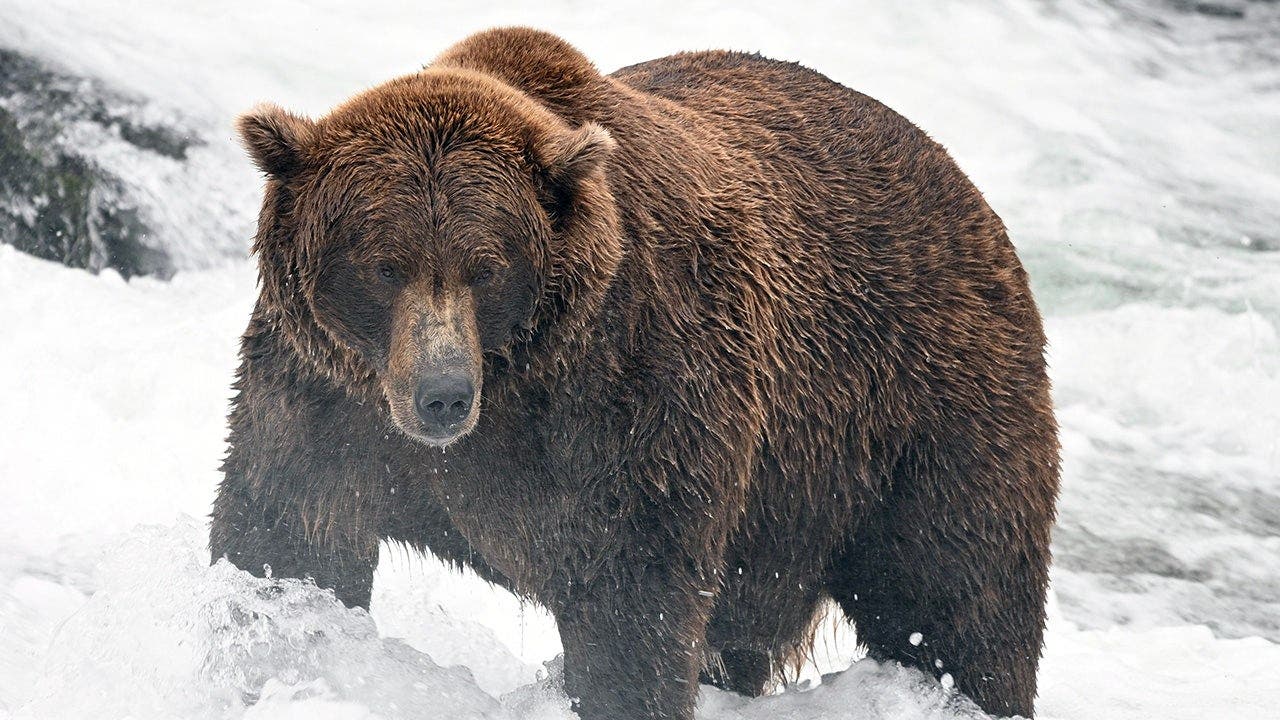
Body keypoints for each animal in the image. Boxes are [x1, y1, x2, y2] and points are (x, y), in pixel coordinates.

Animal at [210, 27, 1060, 720]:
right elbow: (288, 535)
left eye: (486, 267)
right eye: (383, 264)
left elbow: (631, 603)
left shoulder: (633, 396)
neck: (516, 382)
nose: (442, 397)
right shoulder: (324, 398)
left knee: (958, 602)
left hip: (916, 417)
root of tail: (970, 196)